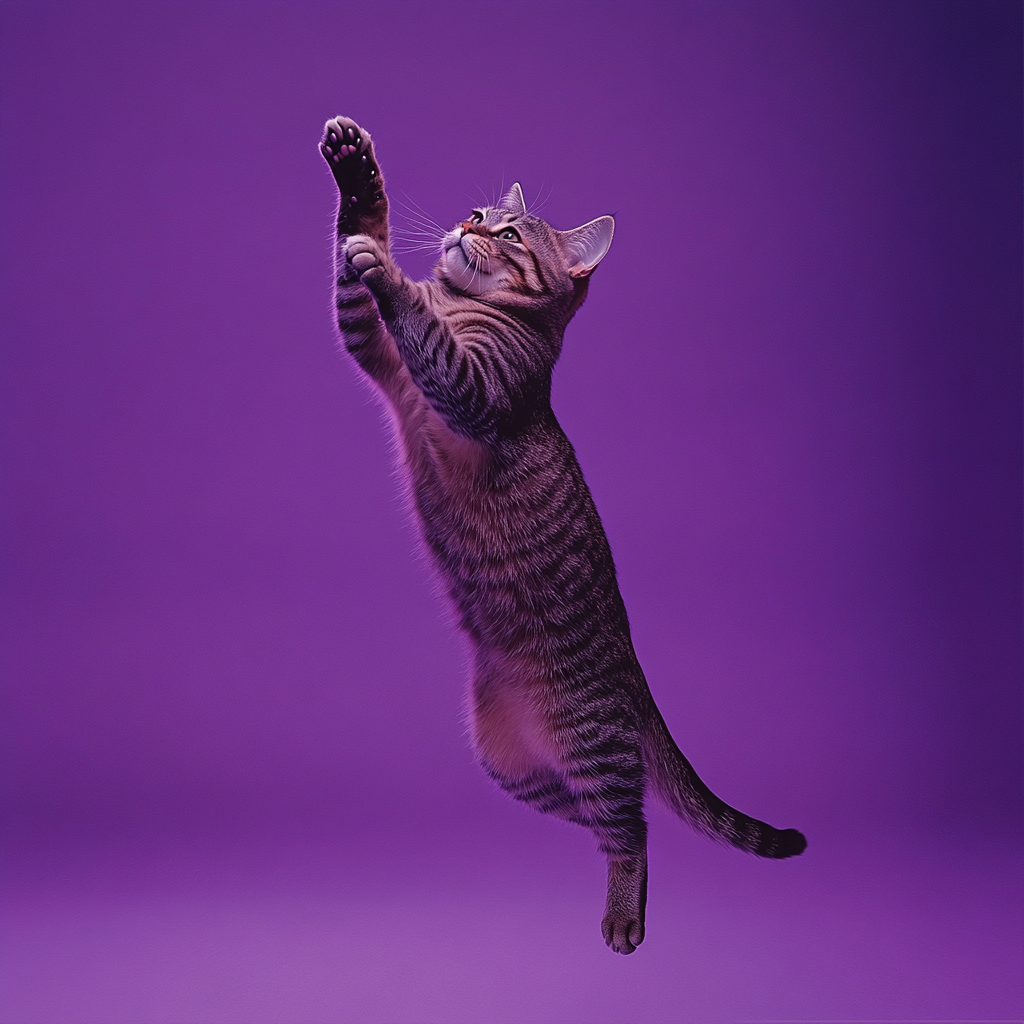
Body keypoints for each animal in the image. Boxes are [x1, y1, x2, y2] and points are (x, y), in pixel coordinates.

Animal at [315, 117, 802, 950]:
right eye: (477, 210)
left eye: (508, 233)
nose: (468, 225)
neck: (477, 310)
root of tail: (636, 681)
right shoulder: (370, 347)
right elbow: (361, 255)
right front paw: (357, 175)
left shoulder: (468, 388)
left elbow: (417, 318)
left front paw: (395, 272)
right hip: (512, 766)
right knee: (608, 818)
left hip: (589, 742)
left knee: (632, 826)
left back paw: (626, 915)